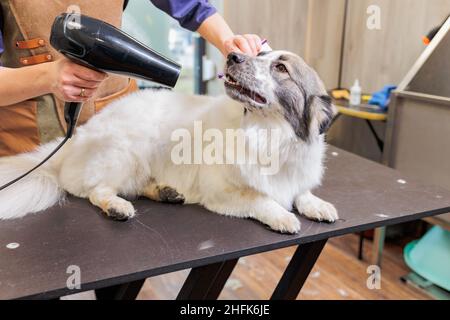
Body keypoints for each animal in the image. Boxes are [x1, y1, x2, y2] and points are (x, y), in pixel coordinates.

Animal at [0, 51, 338, 234]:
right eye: (260, 57)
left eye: (280, 67)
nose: (233, 55)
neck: (267, 136)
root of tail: (74, 139)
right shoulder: (222, 191)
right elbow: (261, 199)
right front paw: (283, 215)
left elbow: (301, 193)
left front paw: (317, 205)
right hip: (125, 152)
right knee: (98, 191)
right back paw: (117, 206)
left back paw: (165, 191)